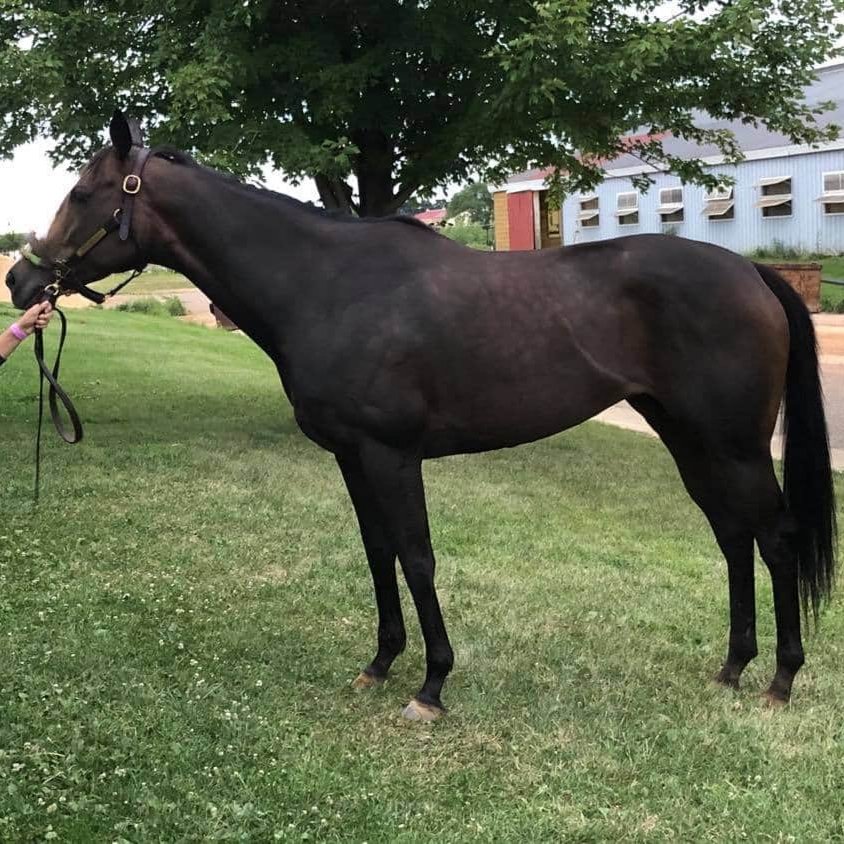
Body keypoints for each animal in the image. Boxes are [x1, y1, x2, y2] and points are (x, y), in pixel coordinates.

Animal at [7, 112, 835, 720]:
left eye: (83, 194)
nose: (22, 280)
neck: (329, 285)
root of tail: (752, 272)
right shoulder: (352, 456)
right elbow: (378, 555)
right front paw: (379, 663)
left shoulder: (391, 454)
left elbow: (417, 557)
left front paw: (431, 687)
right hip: (689, 440)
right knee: (732, 537)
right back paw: (731, 667)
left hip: (734, 446)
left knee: (775, 538)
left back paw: (780, 680)